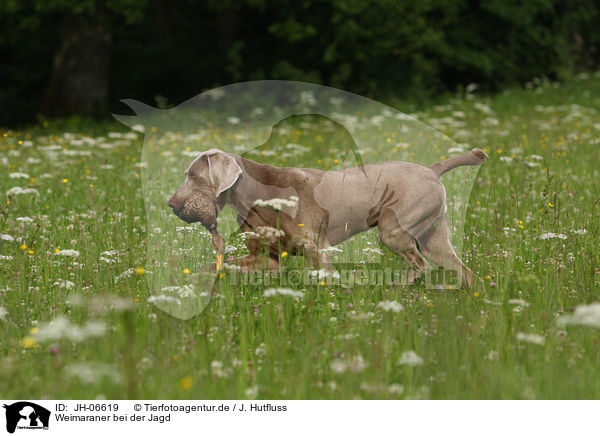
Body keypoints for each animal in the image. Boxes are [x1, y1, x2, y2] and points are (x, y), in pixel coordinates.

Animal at [166, 148, 486, 288]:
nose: (170, 204)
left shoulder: (317, 250)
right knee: (464, 271)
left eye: (193, 176)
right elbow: (213, 265)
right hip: (433, 238)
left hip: (393, 229)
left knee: (420, 266)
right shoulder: (266, 259)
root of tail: (432, 170)